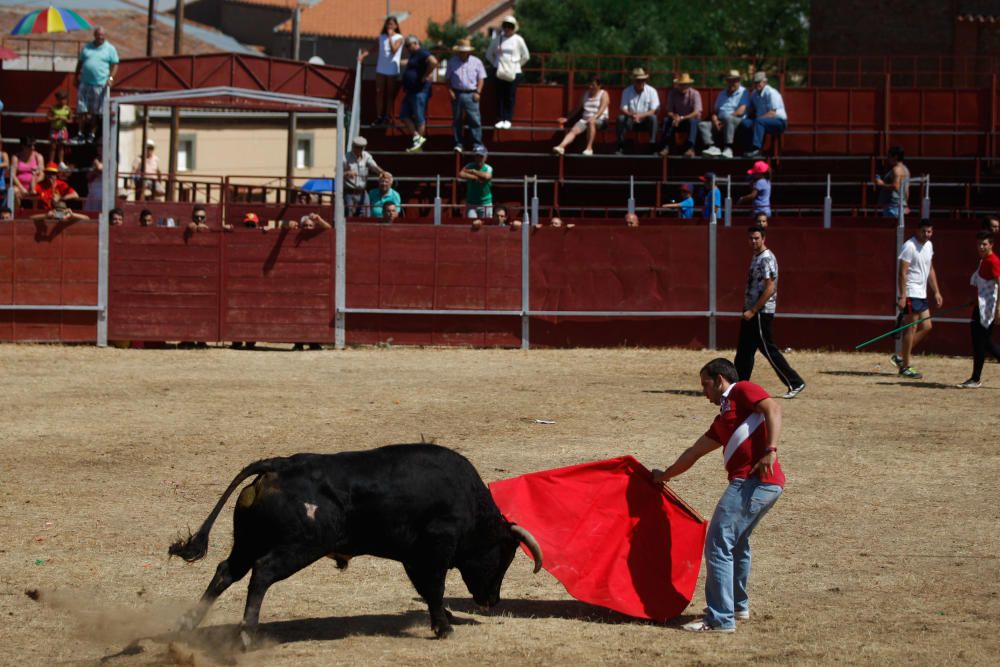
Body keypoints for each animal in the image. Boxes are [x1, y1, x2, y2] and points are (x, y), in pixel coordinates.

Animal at [168, 444, 544, 640]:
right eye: (505, 555)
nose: (492, 601)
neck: (468, 502)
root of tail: (277, 466)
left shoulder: (414, 558)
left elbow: (427, 591)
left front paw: (445, 621)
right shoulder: (433, 552)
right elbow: (434, 589)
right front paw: (444, 628)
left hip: (247, 542)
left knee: (226, 572)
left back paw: (188, 625)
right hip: (300, 547)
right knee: (261, 573)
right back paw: (247, 634)